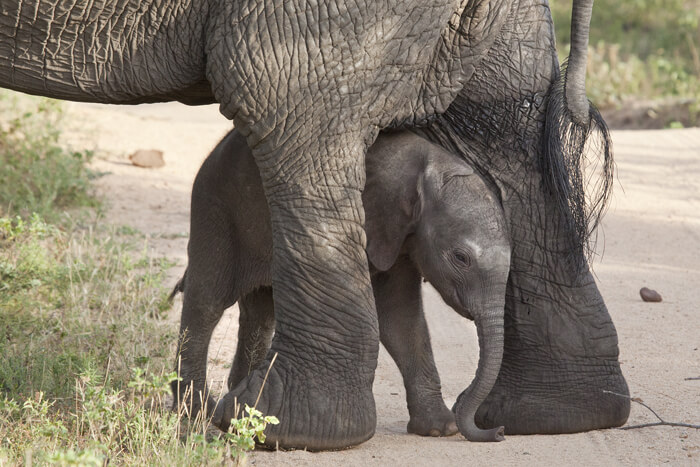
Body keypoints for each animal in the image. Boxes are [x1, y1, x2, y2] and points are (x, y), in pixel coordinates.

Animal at [171, 129, 511, 442]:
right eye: (461, 258)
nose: (499, 431)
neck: (432, 166)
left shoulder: (398, 236)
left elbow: (403, 317)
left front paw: (440, 429)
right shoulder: (371, 218)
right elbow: (393, 313)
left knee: (260, 309)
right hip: (214, 208)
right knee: (207, 301)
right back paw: (197, 410)